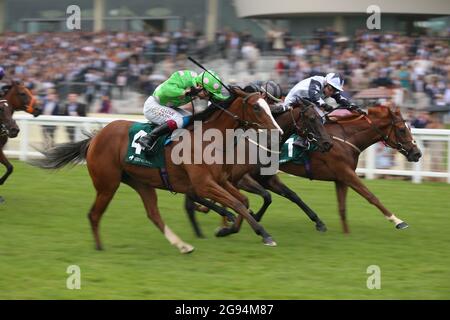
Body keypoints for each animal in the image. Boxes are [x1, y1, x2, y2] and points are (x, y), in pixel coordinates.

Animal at [32, 89, 292, 254]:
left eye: (270, 106)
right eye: (257, 107)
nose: (278, 131)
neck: (208, 138)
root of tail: (95, 138)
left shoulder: (222, 180)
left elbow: (243, 202)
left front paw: (227, 229)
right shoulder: (203, 184)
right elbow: (237, 203)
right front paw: (263, 234)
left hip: (141, 182)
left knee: (154, 215)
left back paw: (183, 246)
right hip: (107, 184)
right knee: (94, 214)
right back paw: (99, 247)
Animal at [196, 104, 422, 236]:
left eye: (409, 128)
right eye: (402, 129)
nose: (417, 153)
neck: (346, 137)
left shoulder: (341, 178)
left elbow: (342, 207)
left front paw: (345, 233)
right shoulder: (346, 173)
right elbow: (371, 196)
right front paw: (398, 221)